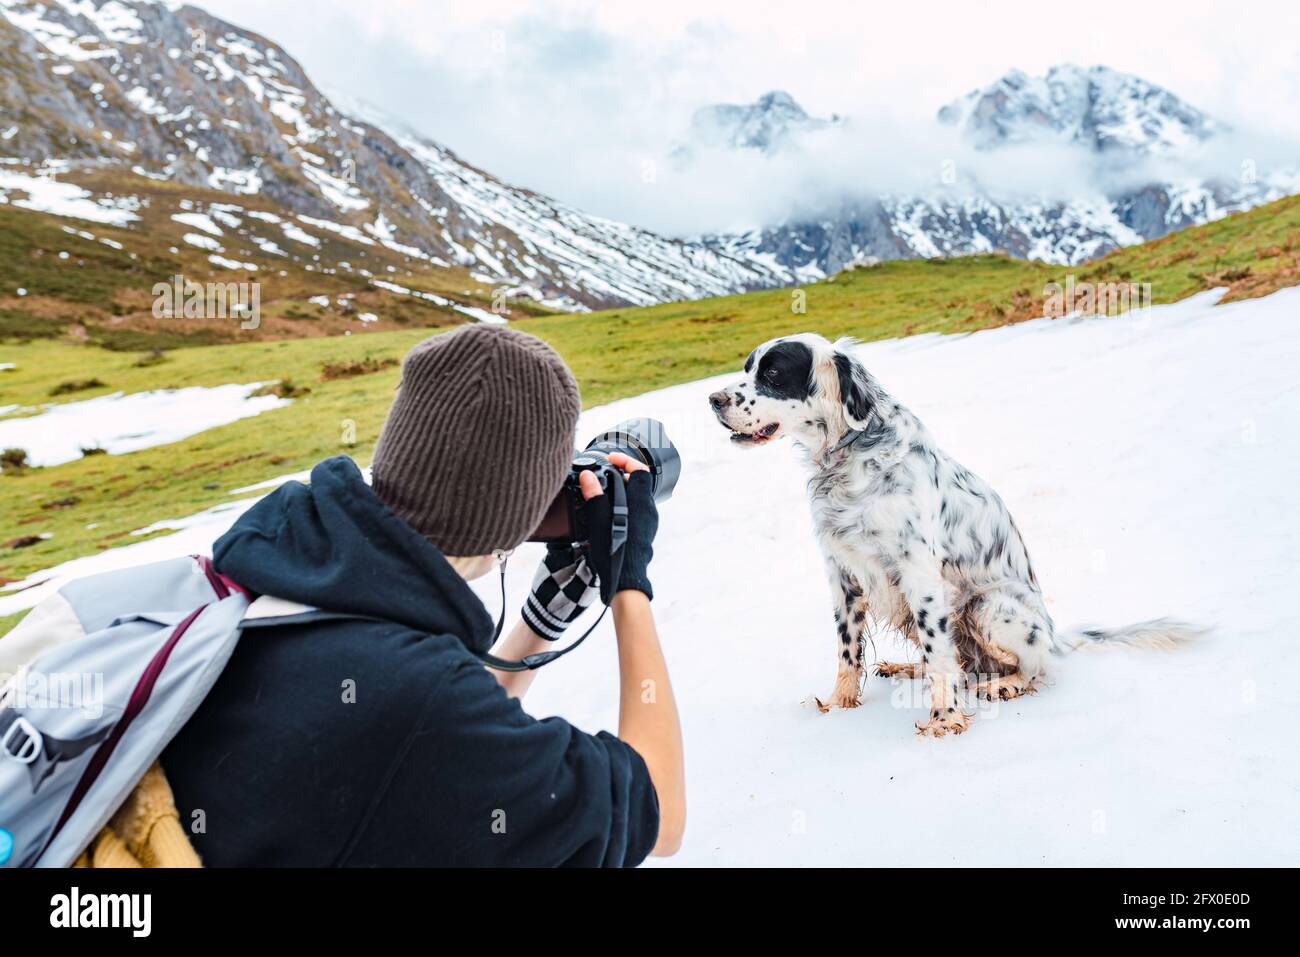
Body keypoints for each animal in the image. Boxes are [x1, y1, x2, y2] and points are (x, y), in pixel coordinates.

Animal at [712, 332, 1196, 738]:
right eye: (748, 367)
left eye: (773, 374)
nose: (713, 399)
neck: (848, 459)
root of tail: (1056, 635)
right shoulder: (843, 574)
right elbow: (848, 649)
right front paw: (839, 705)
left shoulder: (920, 577)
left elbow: (940, 657)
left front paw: (945, 720)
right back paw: (905, 668)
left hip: (989, 607)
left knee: (1034, 667)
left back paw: (1006, 685)